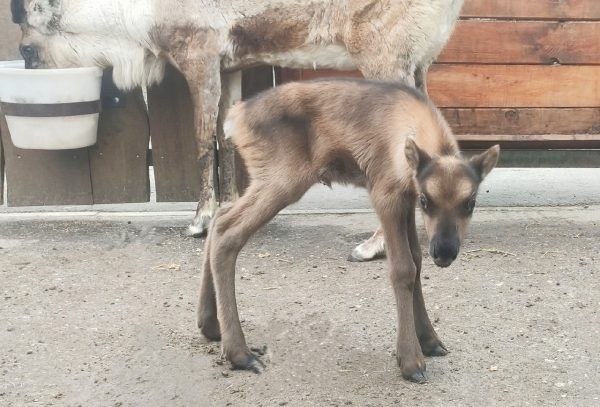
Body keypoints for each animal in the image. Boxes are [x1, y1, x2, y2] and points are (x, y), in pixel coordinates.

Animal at [199, 79, 500, 382]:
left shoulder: (406, 199)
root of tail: (236, 117)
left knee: (219, 219)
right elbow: (403, 269)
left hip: (266, 180)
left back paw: (210, 324)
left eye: (471, 202)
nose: (444, 252)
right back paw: (240, 353)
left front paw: (429, 339)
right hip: (282, 179)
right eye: (427, 200)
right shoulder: (385, 194)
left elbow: (416, 260)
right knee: (227, 233)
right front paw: (410, 360)